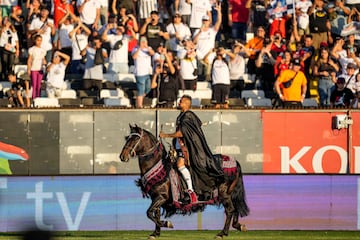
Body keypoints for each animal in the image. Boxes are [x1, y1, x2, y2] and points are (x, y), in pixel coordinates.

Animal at [119, 124, 249, 239]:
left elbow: (149, 213)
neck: (159, 167)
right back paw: (238, 226)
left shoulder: (161, 197)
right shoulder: (156, 197)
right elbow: (155, 214)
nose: (122, 156)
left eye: (135, 138)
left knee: (230, 210)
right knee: (235, 208)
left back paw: (222, 233)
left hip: (224, 193)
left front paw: (167, 224)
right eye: (127, 138)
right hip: (230, 193)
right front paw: (155, 233)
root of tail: (234, 161)